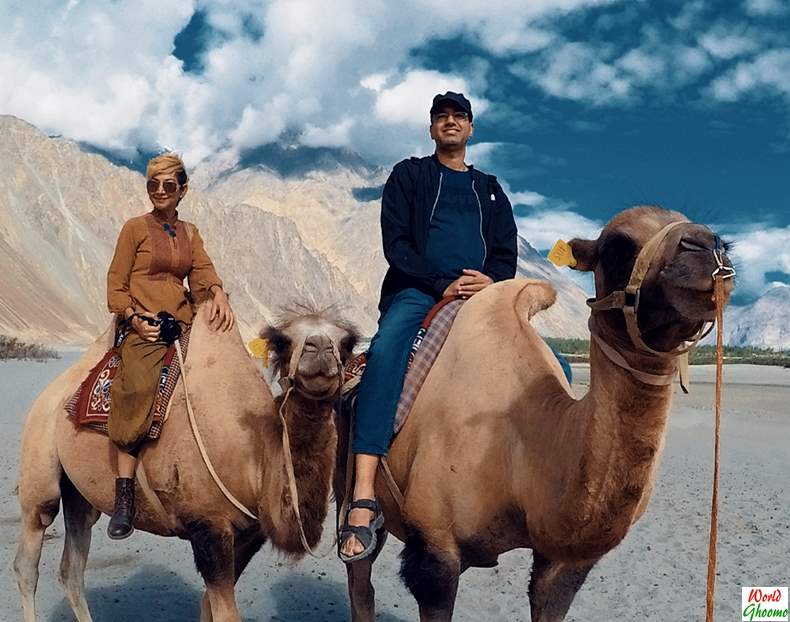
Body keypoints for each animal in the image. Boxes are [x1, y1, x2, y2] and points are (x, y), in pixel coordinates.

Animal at [13, 306, 358, 622]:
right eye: (282, 342)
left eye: (347, 343)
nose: (319, 349)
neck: (255, 456)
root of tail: (52, 394)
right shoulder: (208, 525)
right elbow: (225, 613)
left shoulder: (250, 534)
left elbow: (208, 607)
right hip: (39, 463)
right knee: (29, 557)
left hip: (80, 495)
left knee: (71, 568)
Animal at [334, 207, 736, 620]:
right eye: (617, 246)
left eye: (723, 242)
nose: (707, 250)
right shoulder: (434, 549)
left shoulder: (563, 565)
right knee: (360, 575)